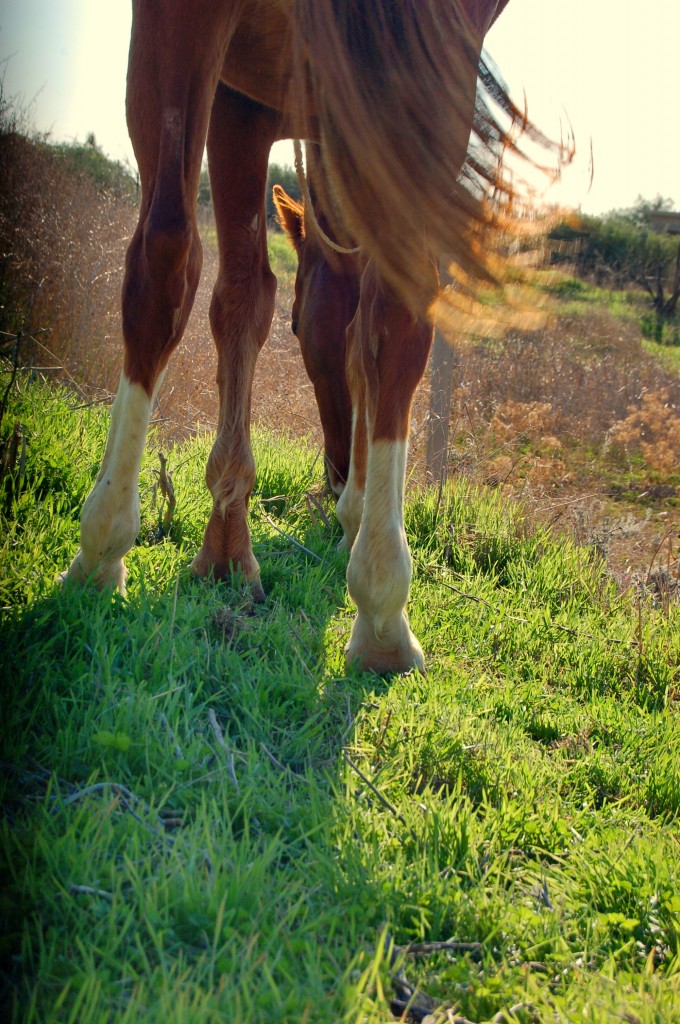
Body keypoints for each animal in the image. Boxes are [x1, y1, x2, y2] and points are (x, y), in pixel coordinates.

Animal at [62, 0, 524, 675]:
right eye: (299, 328)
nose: (337, 469)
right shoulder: (251, 102)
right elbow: (252, 297)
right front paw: (242, 541)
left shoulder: (249, 102)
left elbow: (254, 297)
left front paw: (236, 542)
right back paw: (382, 612)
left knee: (165, 249)